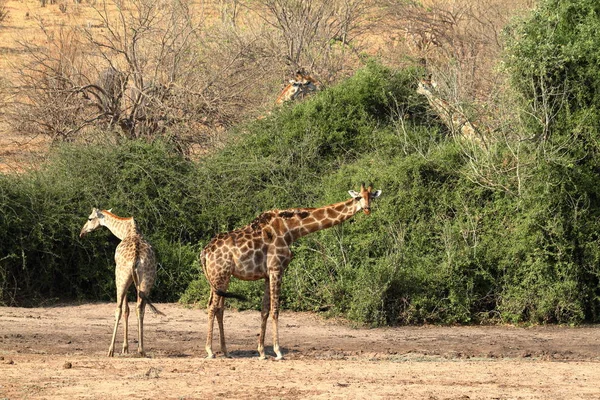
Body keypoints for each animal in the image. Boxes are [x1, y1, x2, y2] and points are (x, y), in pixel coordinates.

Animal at [81, 208, 164, 358]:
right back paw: (141, 350)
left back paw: (111, 350)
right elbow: (131, 309)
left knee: (118, 309)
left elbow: (125, 309)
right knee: (140, 308)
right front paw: (127, 348)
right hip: (147, 281)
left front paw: (124, 348)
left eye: (90, 218)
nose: (82, 232)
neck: (127, 230)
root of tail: (136, 257)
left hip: (120, 278)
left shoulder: (125, 279)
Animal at [200, 184, 380, 360]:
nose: (367, 209)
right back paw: (210, 351)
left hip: (222, 278)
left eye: (371, 196)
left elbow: (264, 310)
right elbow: (275, 310)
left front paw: (262, 352)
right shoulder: (276, 269)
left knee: (219, 308)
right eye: (358, 197)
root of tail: (205, 252)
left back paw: (225, 351)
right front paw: (278, 351)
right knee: (213, 307)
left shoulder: (267, 274)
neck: (291, 230)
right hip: (220, 274)